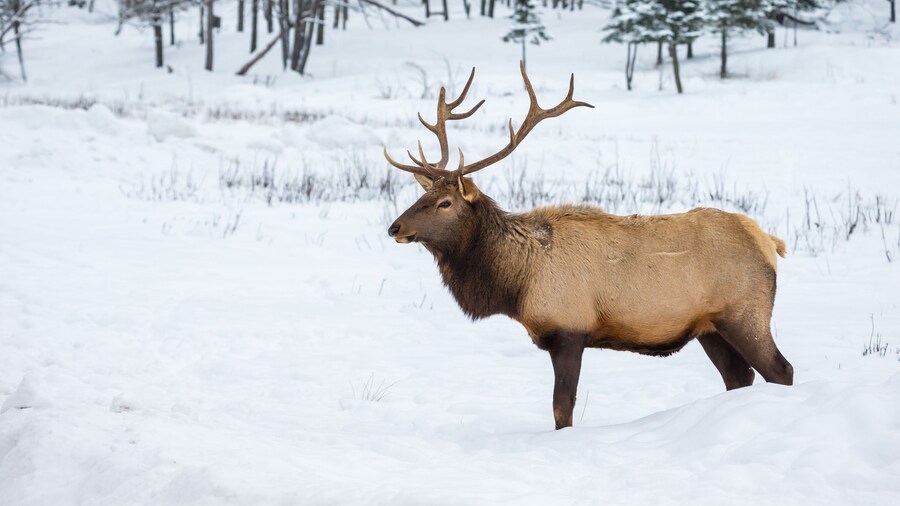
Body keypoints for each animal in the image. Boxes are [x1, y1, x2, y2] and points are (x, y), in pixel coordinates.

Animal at [384, 62, 794, 430]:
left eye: (445, 203)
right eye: (424, 195)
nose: (394, 227)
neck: (517, 282)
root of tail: (769, 242)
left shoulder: (568, 330)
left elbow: (561, 409)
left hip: (744, 312)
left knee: (780, 369)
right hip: (709, 327)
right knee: (739, 377)